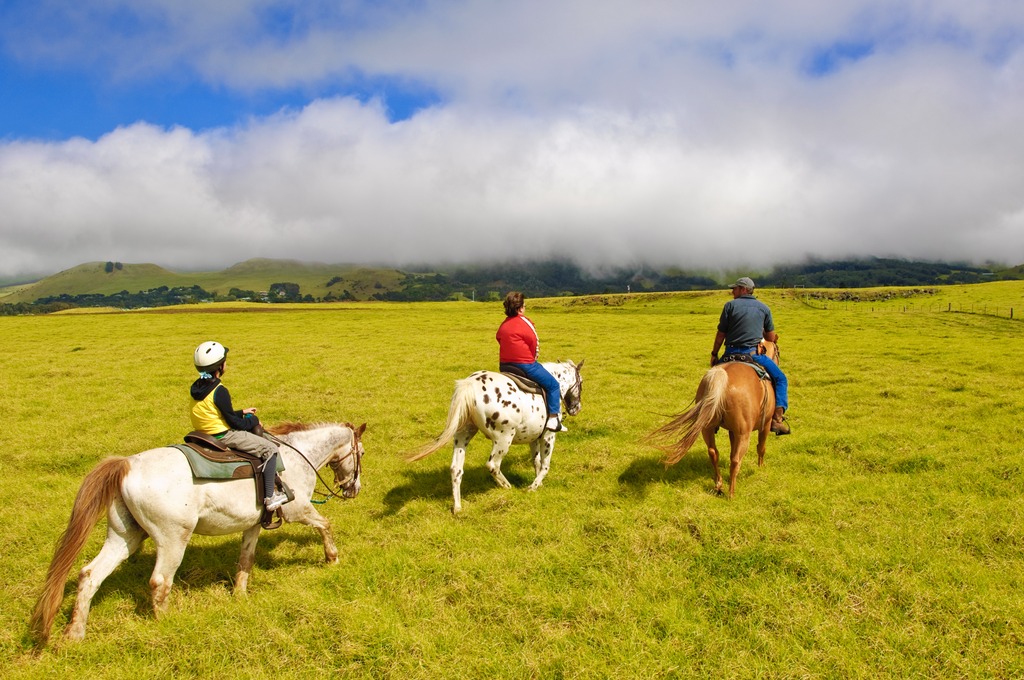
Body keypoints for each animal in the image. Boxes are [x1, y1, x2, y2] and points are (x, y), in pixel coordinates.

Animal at [29, 417, 366, 647]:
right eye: (361, 452)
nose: (354, 489)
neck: (296, 455)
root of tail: (127, 464)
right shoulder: (299, 511)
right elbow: (326, 525)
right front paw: (332, 558)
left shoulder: (253, 525)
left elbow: (246, 560)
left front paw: (239, 595)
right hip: (172, 540)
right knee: (160, 582)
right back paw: (167, 624)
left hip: (124, 537)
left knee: (90, 575)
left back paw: (75, 633)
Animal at [407, 358, 585, 512]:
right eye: (581, 382)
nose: (576, 408)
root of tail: (470, 384)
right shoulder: (548, 436)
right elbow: (545, 465)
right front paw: (533, 487)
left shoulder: (533, 438)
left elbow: (537, 461)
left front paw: (538, 484)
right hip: (503, 438)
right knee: (493, 465)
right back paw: (507, 487)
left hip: (463, 434)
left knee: (456, 468)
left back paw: (457, 507)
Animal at [651, 342, 778, 497]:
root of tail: (721, 377)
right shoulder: (765, 424)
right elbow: (761, 447)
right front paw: (761, 467)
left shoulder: (731, 430)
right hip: (743, 433)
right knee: (736, 459)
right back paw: (731, 494)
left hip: (707, 427)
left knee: (713, 452)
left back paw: (719, 484)